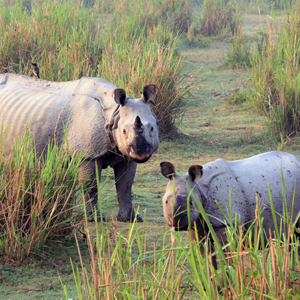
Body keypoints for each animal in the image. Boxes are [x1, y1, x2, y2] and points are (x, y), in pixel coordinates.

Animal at [0, 73, 159, 221]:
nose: (140, 154)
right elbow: (90, 185)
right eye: (124, 131)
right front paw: (94, 218)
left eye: (152, 129)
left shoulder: (125, 154)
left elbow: (125, 185)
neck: (114, 113)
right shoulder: (88, 154)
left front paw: (131, 219)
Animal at [161, 152, 300, 270]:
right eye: (166, 201)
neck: (199, 187)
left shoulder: (226, 223)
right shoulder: (196, 224)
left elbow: (228, 258)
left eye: (191, 202)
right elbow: (205, 258)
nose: (176, 222)